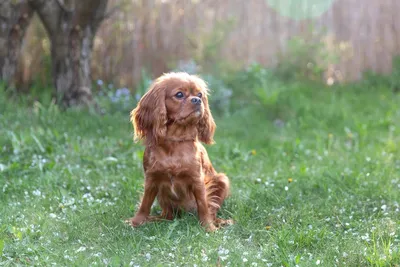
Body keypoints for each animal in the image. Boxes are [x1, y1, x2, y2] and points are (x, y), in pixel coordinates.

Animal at [128, 72, 233, 231]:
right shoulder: (152, 179)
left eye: (200, 94)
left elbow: (203, 205)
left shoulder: (197, 180)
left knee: (212, 209)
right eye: (179, 94)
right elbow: (145, 204)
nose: (197, 100)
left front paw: (208, 227)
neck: (175, 141)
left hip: (222, 180)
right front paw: (136, 222)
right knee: (167, 215)